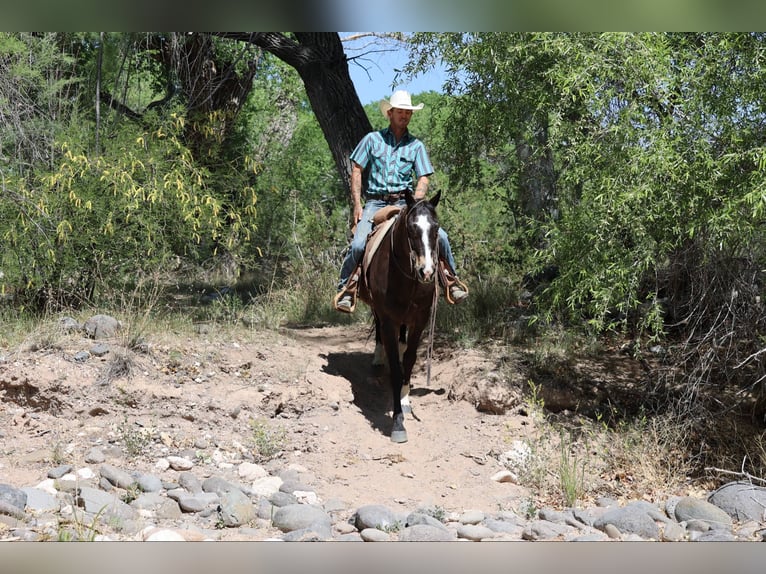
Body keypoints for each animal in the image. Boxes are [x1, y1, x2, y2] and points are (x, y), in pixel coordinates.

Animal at [357, 188, 442, 443]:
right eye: (411, 228)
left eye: (436, 228)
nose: (427, 272)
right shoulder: (388, 320)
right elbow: (395, 366)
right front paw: (397, 422)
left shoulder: (420, 318)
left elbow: (410, 359)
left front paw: (404, 399)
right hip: (380, 311)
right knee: (378, 331)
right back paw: (378, 357)